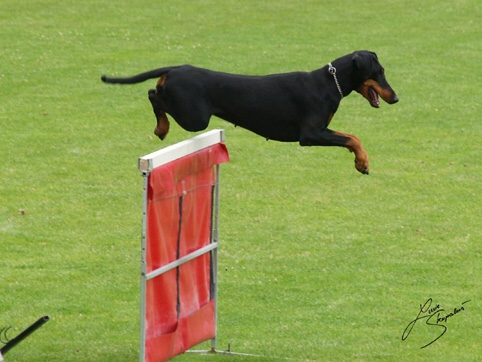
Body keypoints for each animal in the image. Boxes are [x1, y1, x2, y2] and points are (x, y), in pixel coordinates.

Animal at [100, 50, 398, 175]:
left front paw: (361, 162)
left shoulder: (319, 132)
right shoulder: (310, 134)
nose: (395, 98)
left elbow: (351, 137)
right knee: (153, 95)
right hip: (195, 118)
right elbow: (352, 137)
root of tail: (175, 68)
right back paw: (161, 127)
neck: (328, 83)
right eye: (379, 72)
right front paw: (362, 163)